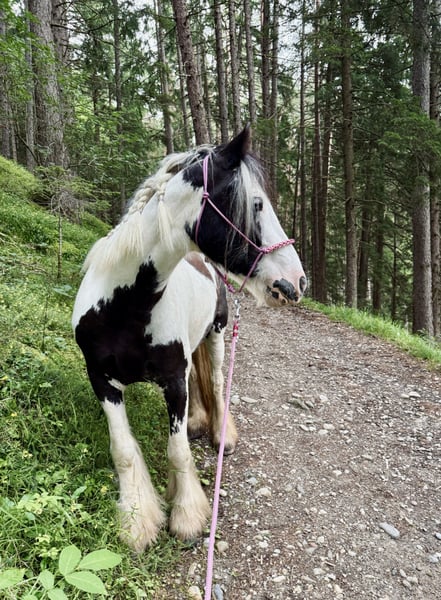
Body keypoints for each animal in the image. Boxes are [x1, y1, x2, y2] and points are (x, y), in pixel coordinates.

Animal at [72, 126, 307, 553]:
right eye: (257, 204)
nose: (296, 282)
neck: (126, 307)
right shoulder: (102, 380)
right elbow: (124, 451)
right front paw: (137, 523)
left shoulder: (173, 382)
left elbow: (178, 450)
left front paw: (187, 517)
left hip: (216, 337)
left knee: (213, 380)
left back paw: (219, 434)